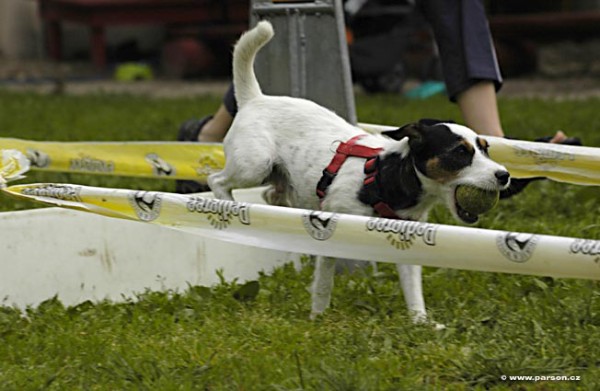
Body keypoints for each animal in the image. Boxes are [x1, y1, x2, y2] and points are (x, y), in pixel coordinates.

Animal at [210, 22, 510, 328]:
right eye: (460, 152)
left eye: (485, 148)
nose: (504, 175)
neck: (387, 175)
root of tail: (255, 99)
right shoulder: (333, 231)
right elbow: (323, 284)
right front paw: (317, 317)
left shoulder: (407, 239)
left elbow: (413, 288)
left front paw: (421, 322)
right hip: (254, 165)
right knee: (217, 180)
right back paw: (229, 205)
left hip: (277, 179)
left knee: (273, 195)